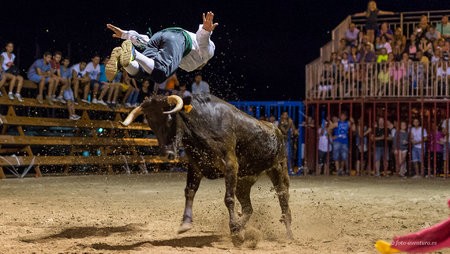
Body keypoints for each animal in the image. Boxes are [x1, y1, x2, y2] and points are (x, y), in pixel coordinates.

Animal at [121, 94, 294, 243]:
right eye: (151, 122)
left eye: (170, 118)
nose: (168, 153)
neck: (202, 125)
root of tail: (276, 130)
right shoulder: (195, 166)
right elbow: (190, 191)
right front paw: (185, 223)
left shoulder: (231, 165)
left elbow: (228, 198)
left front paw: (235, 231)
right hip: (243, 181)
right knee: (248, 208)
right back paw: (241, 226)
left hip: (278, 170)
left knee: (283, 200)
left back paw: (287, 234)